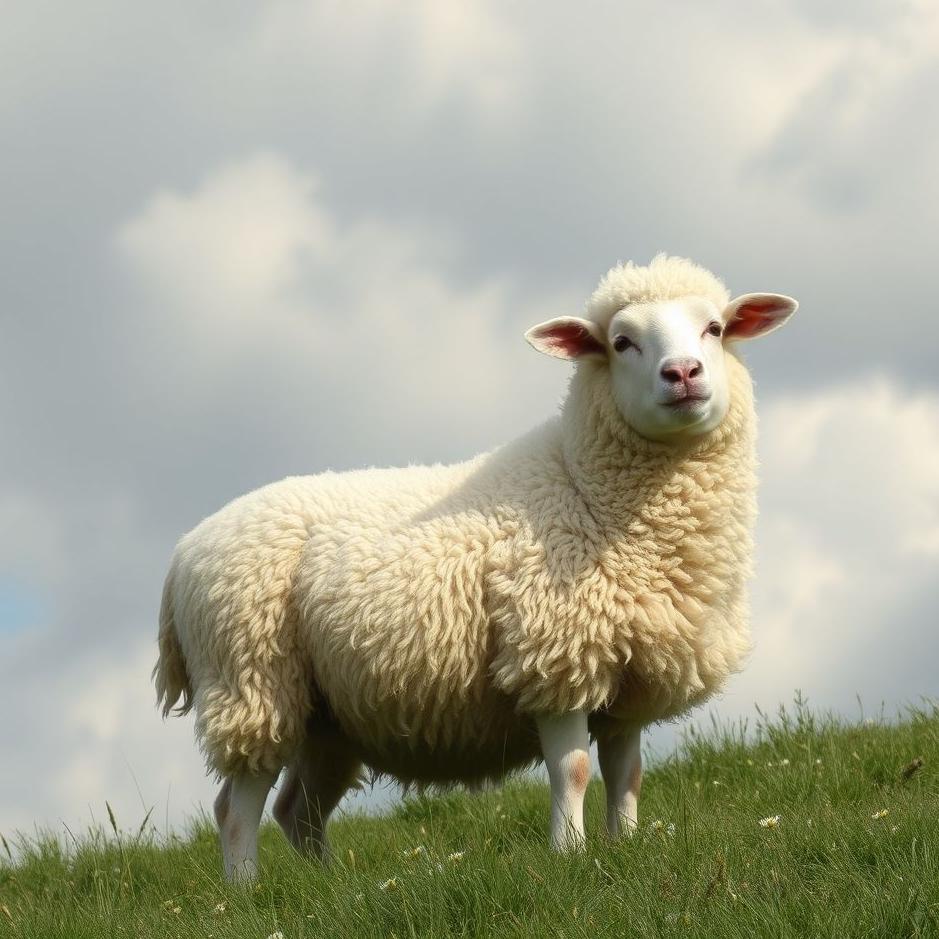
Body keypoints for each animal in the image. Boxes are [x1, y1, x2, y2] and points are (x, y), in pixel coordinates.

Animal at [154, 254, 798, 881]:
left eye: (714, 328)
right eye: (621, 342)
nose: (683, 373)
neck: (583, 484)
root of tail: (185, 551)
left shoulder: (626, 677)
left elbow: (627, 774)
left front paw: (626, 847)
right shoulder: (555, 656)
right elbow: (572, 771)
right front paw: (570, 856)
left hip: (326, 714)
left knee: (297, 811)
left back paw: (333, 890)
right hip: (249, 678)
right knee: (236, 807)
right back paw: (246, 893)